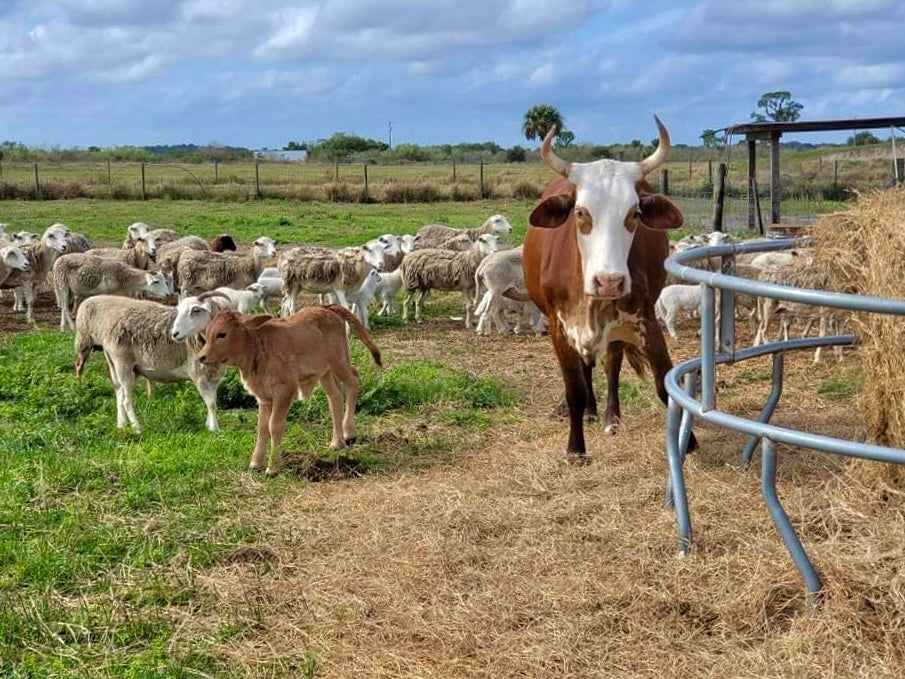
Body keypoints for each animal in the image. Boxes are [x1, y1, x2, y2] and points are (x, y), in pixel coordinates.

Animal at [198, 305, 382, 475]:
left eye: (222, 334)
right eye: (207, 333)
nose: (201, 357)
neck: (257, 347)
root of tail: (325, 308)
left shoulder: (284, 391)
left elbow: (274, 426)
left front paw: (273, 467)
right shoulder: (263, 397)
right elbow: (262, 427)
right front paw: (256, 463)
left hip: (339, 362)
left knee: (353, 382)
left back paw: (349, 433)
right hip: (325, 373)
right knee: (335, 396)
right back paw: (337, 442)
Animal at [523, 117, 696, 458]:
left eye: (634, 213)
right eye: (580, 212)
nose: (609, 282)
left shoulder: (645, 319)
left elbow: (663, 383)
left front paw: (690, 440)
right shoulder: (559, 327)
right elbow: (574, 389)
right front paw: (575, 448)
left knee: (611, 365)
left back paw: (609, 416)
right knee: (585, 367)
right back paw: (590, 411)